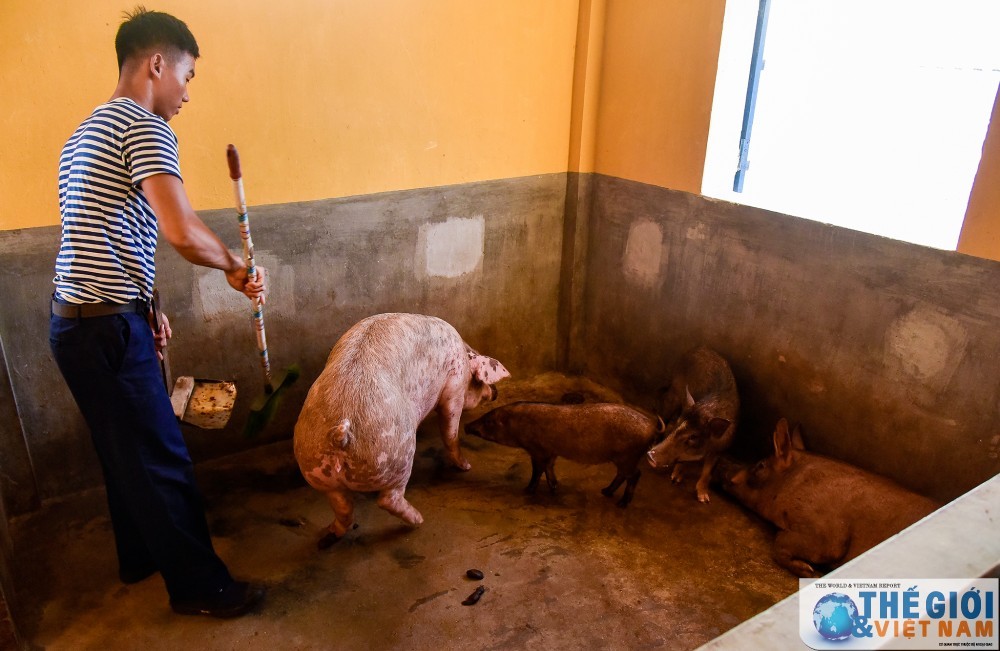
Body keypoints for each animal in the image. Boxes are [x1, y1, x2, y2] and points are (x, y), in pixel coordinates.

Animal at [290, 314, 508, 548]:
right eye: (479, 381)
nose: (495, 391)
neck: (465, 359)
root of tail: (341, 430)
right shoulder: (454, 387)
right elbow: (450, 430)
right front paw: (466, 466)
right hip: (396, 456)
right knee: (388, 499)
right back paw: (419, 520)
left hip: (315, 469)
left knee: (343, 507)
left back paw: (331, 533)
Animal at [466, 402, 664, 510]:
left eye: (489, 421)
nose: (467, 426)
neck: (518, 424)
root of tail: (651, 427)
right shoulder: (551, 452)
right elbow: (549, 468)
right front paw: (554, 488)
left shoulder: (538, 450)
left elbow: (538, 470)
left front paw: (527, 490)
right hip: (623, 459)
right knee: (623, 475)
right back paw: (605, 492)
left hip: (628, 457)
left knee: (635, 474)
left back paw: (621, 504)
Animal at [644, 346, 740, 504]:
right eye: (677, 426)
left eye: (693, 436)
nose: (651, 456)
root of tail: (698, 348)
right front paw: (674, 479)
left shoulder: (720, 450)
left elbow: (708, 472)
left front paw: (704, 499)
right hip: (673, 397)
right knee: (662, 417)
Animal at [720, 420, 936, 580]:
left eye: (760, 465)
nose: (724, 472)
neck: (794, 483)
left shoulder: (826, 532)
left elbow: (781, 541)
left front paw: (809, 572)